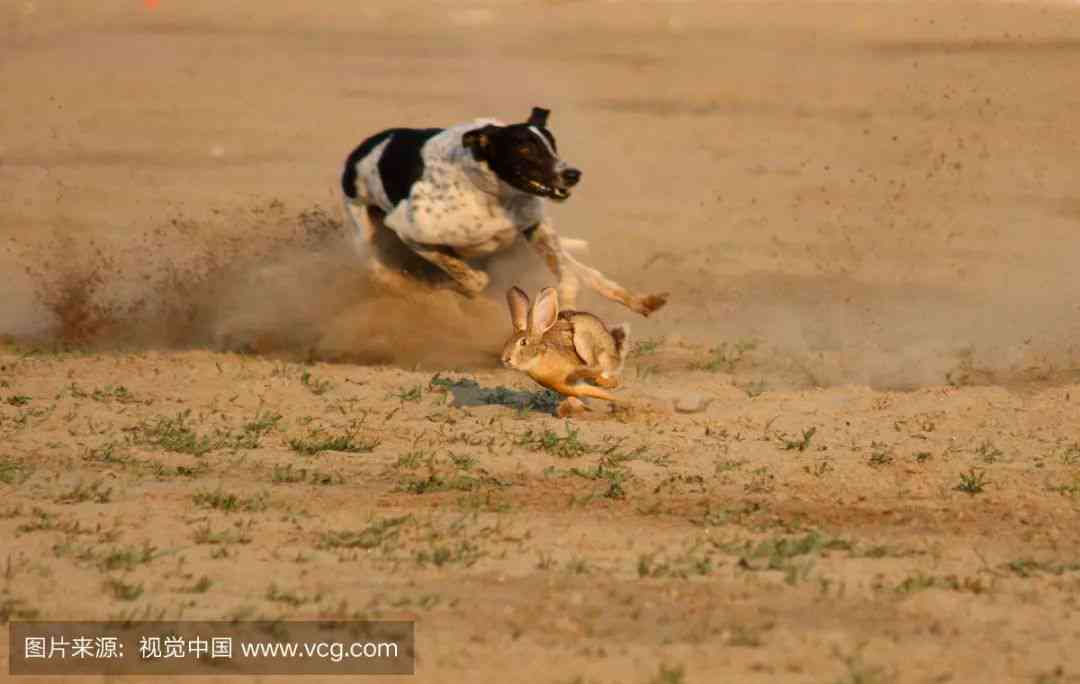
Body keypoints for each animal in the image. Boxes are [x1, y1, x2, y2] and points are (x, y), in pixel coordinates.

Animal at [501, 283, 630, 417]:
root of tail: (616, 354)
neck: (540, 357)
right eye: (507, 342)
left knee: (599, 368)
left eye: (523, 342)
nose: (505, 359)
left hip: (584, 337)